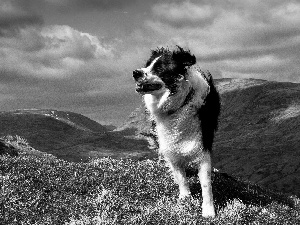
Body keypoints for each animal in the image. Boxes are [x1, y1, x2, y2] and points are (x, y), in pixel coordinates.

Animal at [133, 46, 220, 218]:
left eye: (159, 68)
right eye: (147, 65)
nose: (135, 73)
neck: (179, 104)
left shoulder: (203, 145)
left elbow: (206, 183)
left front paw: (208, 210)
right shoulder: (170, 145)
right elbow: (181, 176)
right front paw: (185, 197)